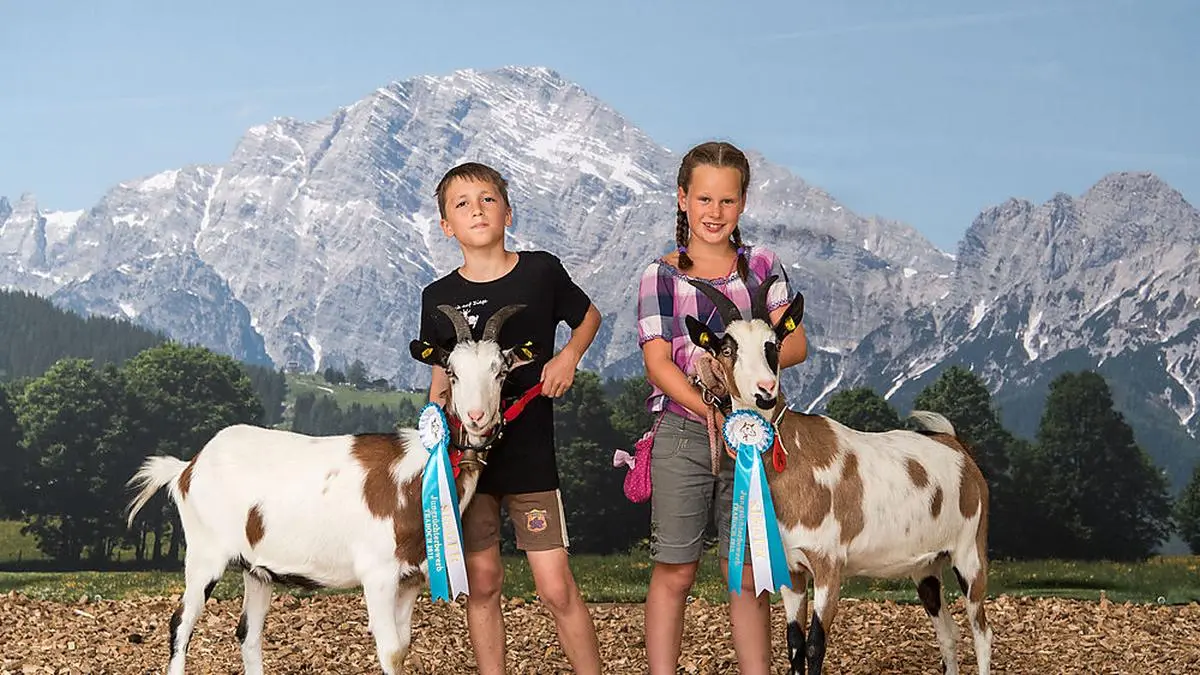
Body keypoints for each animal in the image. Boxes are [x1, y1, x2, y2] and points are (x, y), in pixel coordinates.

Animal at [125, 304, 536, 675]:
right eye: (452, 372)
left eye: (500, 372)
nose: (477, 418)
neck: (418, 473)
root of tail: (188, 466)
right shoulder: (378, 573)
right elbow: (390, 652)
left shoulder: (412, 579)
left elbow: (403, 647)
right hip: (204, 553)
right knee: (181, 623)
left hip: (257, 569)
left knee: (248, 634)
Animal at [685, 277, 992, 675]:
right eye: (726, 348)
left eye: (774, 345)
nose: (765, 391)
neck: (795, 457)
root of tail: (957, 447)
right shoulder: (793, 571)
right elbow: (795, 643)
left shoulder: (828, 566)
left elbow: (816, 645)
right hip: (926, 567)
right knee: (948, 633)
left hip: (970, 552)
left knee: (981, 630)